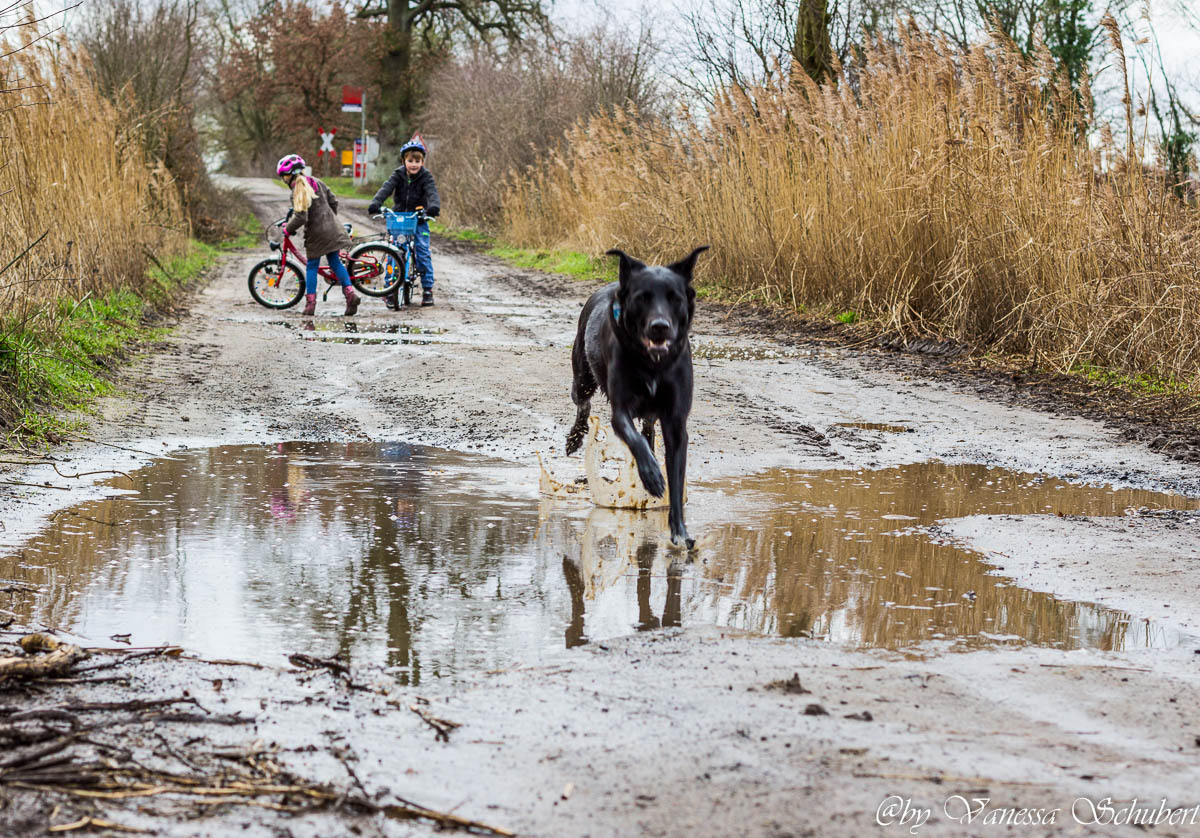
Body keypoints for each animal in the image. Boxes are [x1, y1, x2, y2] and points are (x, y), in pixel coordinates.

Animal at [566, 246, 705, 547]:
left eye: (675, 298)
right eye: (642, 298)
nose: (660, 326)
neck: (652, 363)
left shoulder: (676, 421)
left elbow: (675, 474)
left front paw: (679, 530)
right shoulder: (620, 411)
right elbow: (635, 441)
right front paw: (651, 476)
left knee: (648, 429)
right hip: (582, 377)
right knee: (583, 404)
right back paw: (575, 438)